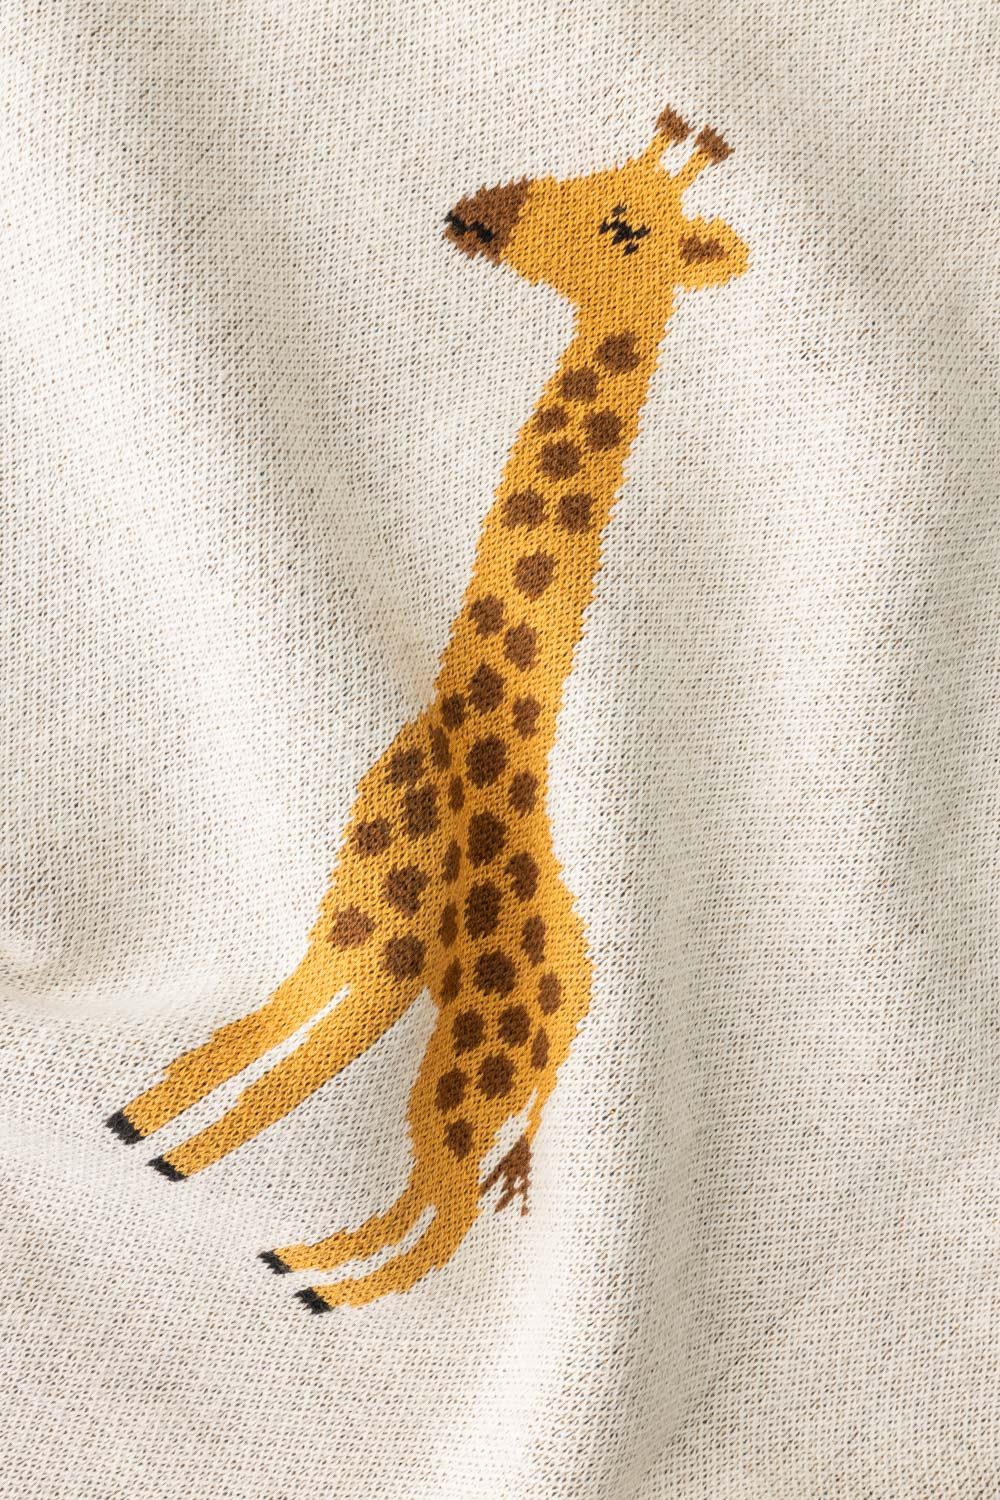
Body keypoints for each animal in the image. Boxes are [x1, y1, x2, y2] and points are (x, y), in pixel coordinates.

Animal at [106, 107, 749, 1312]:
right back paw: (301, 1260)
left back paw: (319, 1284)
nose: (477, 214)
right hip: (471, 1070)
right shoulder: (347, 916)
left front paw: (177, 1156)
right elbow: (269, 1020)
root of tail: (574, 1018)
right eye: (595, 174)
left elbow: (303, 1060)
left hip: (472, 1065)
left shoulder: (389, 939)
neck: (470, 715)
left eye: (622, 227)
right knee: (425, 1194)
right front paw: (141, 1124)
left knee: (445, 1209)